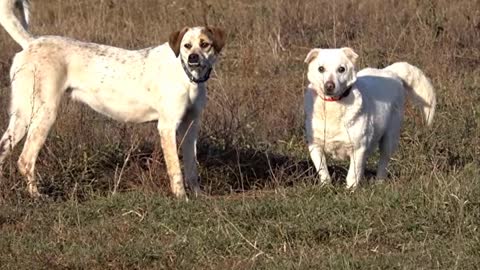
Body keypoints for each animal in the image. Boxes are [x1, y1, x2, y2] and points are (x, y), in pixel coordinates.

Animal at [0, 0, 225, 198]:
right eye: (186, 46)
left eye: (205, 44)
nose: (193, 58)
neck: (187, 75)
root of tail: (31, 42)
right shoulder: (167, 127)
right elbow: (176, 169)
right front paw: (181, 199)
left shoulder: (191, 126)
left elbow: (192, 168)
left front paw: (198, 198)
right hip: (43, 113)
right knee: (25, 160)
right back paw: (37, 197)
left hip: (23, 115)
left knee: (3, 148)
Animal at [306, 47, 436, 189]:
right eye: (321, 69)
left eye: (341, 69)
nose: (329, 86)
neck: (333, 106)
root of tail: (390, 72)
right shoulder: (315, 146)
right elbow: (323, 171)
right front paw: (326, 187)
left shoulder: (357, 148)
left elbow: (352, 175)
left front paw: (350, 191)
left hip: (389, 138)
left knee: (383, 163)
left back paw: (379, 182)